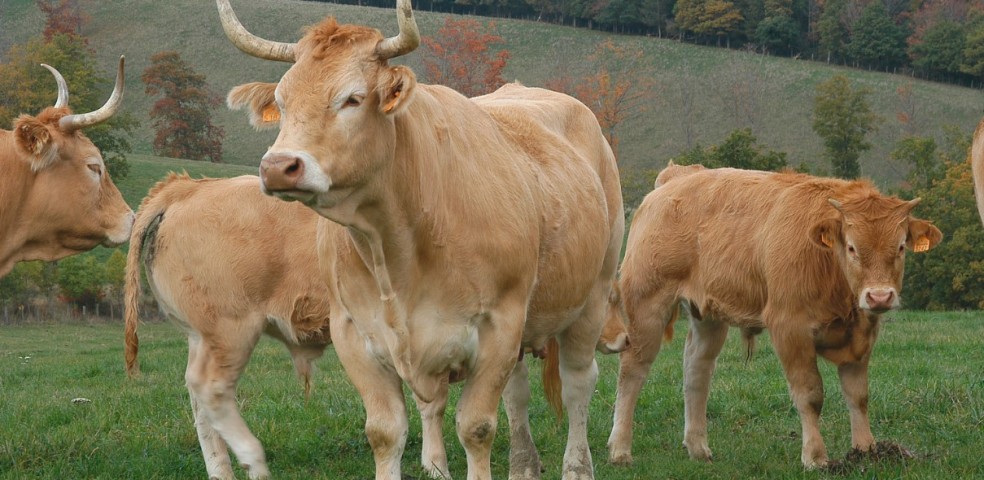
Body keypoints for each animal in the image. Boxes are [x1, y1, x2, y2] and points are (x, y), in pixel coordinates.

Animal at [123, 173, 628, 480]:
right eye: (613, 297)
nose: (623, 338)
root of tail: (188, 188)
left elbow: (435, 403)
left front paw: (434, 464)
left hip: (201, 336)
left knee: (197, 399)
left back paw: (221, 469)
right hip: (228, 331)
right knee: (209, 390)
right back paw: (252, 461)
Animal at [219, 1, 628, 478]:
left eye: (352, 98)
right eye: (282, 103)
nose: (278, 167)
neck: (395, 246)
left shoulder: (500, 324)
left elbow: (476, 427)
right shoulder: (353, 331)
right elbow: (385, 431)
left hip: (593, 295)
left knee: (579, 382)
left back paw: (577, 465)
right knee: (508, 393)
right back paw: (508, 464)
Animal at [608, 166, 944, 468]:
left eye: (900, 247)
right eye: (851, 247)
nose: (879, 296)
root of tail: (676, 177)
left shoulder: (862, 335)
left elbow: (858, 394)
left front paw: (866, 450)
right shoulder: (790, 329)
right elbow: (810, 394)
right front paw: (816, 457)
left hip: (707, 316)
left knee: (696, 369)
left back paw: (698, 447)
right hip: (647, 305)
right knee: (632, 371)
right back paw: (620, 450)